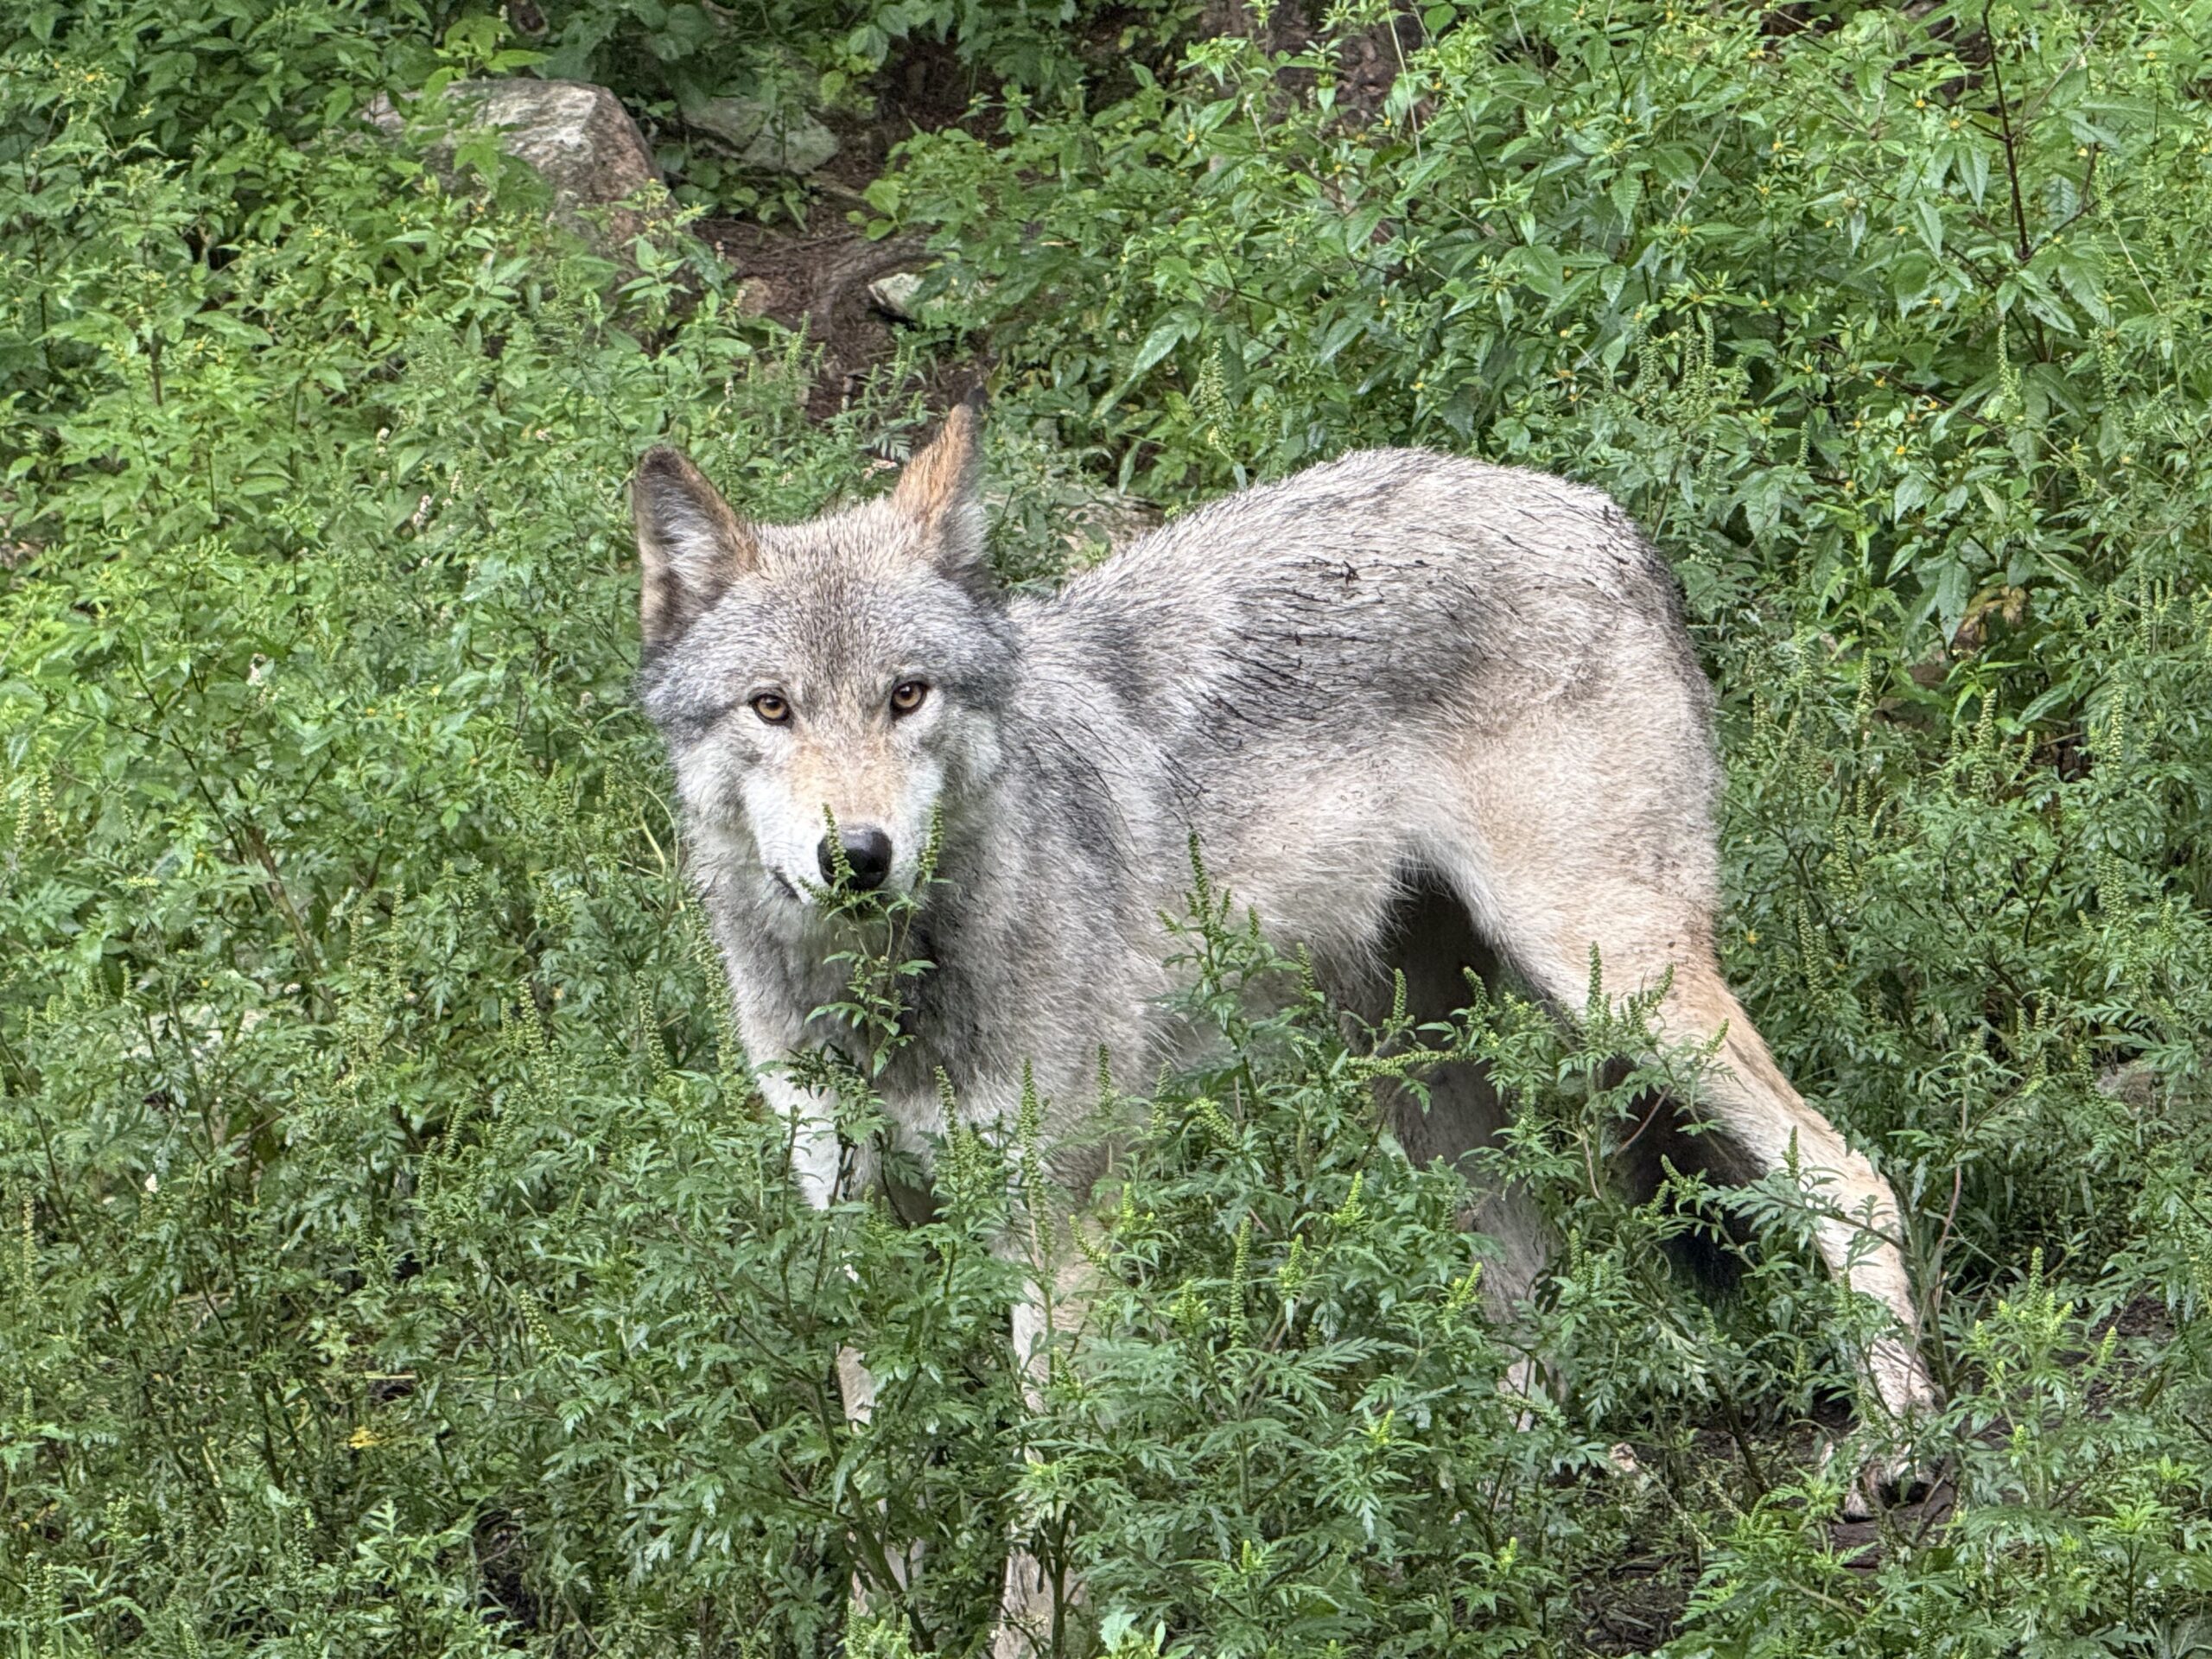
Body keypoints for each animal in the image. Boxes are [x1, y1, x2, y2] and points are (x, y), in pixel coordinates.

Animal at [632, 401, 1938, 1653]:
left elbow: (1046, 1518)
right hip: (1419, 1069)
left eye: (907, 695)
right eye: (771, 707)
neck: (886, 992)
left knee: (1847, 1172)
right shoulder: (847, 1225)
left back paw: (1897, 1451)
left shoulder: (1062, 1236)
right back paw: (1501, 1540)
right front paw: (876, 1636)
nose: (857, 857)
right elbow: (877, 1496)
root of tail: (1600, 513)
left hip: (1614, 986)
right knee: (1527, 1262)